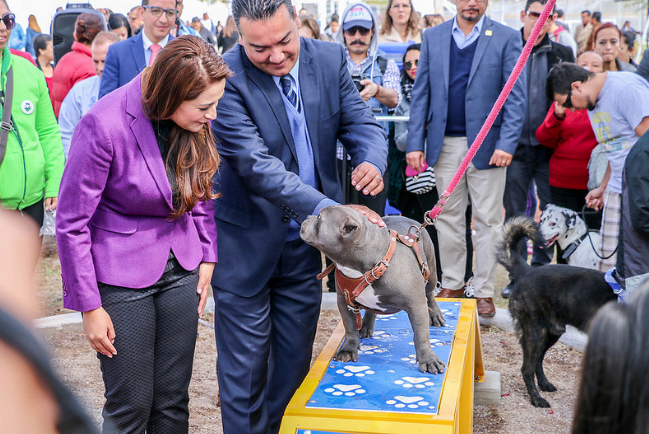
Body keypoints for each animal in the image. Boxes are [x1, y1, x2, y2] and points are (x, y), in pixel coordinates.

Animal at [300, 206, 446, 372]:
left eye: (319, 217)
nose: (308, 216)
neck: (372, 267)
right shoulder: (343, 301)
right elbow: (350, 327)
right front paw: (348, 349)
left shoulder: (416, 305)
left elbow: (421, 335)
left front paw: (428, 359)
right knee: (371, 310)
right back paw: (366, 326)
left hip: (431, 272)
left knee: (430, 294)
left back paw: (435, 315)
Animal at [494, 217, 616, 406]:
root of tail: (527, 271)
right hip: (536, 333)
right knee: (526, 369)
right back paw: (536, 399)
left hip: (551, 333)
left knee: (537, 361)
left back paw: (544, 384)